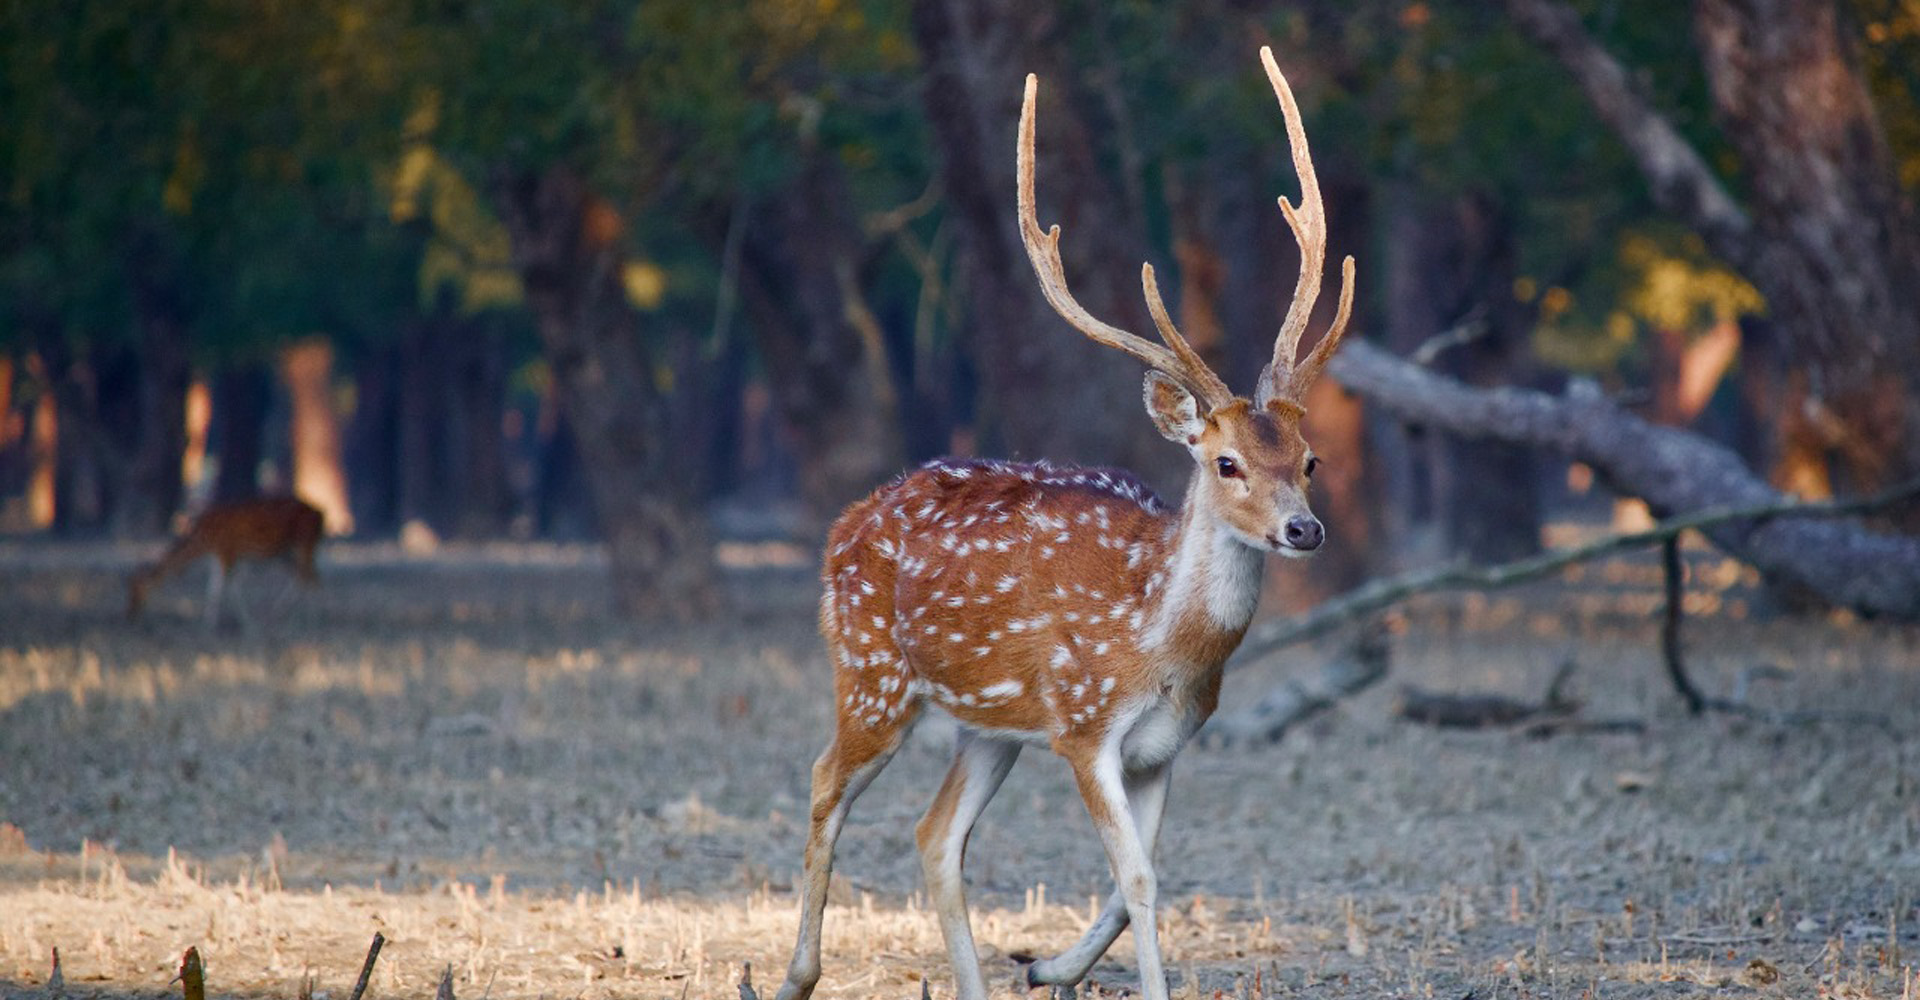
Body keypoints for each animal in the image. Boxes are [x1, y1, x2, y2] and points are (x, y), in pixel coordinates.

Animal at [127, 495, 324, 629]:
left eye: (136, 591)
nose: (130, 614)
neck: (203, 541)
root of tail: (321, 515)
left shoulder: (227, 551)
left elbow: (225, 587)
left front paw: (244, 622)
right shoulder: (218, 556)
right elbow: (214, 587)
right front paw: (207, 622)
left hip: (305, 542)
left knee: (311, 577)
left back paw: (310, 619)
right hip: (285, 552)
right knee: (303, 576)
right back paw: (278, 615)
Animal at [771, 48, 1359, 1000]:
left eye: (1310, 461)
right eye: (1226, 462)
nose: (1303, 531)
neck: (1163, 647)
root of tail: (845, 524)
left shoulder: (1165, 745)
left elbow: (1138, 880)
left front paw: (1048, 963)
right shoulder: (1084, 727)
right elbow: (1139, 877)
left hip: (988, 723)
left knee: (936, 833)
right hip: (872, 673)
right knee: (826, 781)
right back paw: (795, 975)